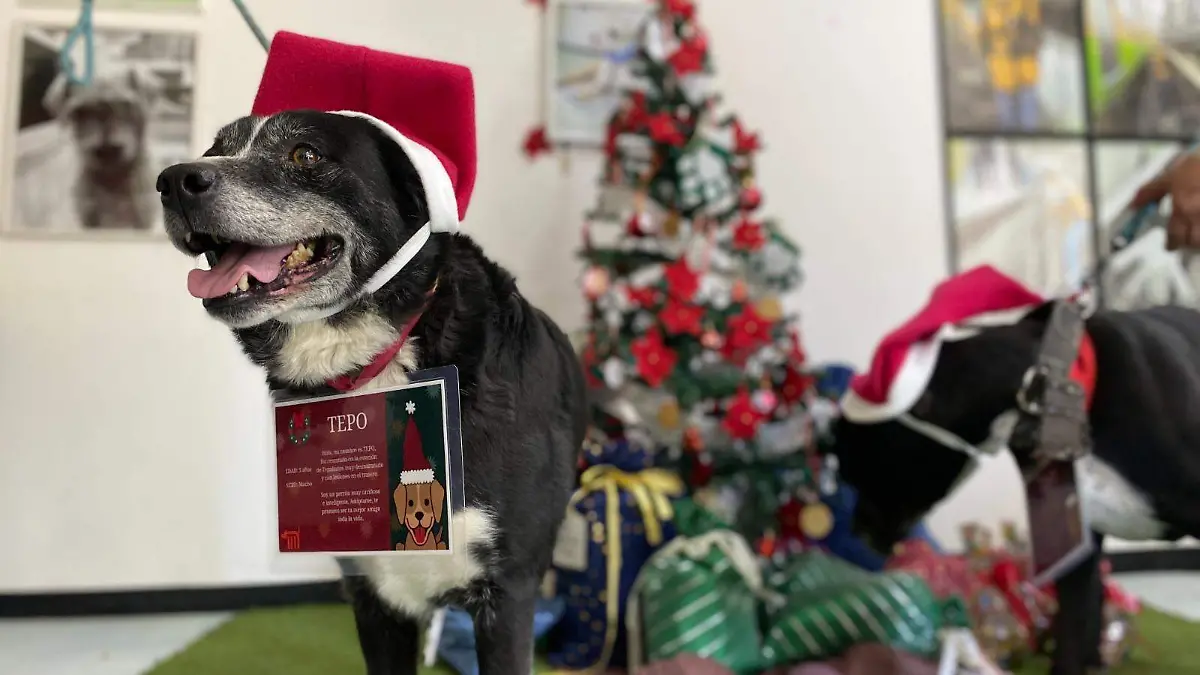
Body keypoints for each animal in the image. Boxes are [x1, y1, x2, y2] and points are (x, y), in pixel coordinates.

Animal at [158, 109, 587, 675]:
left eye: (305, 153)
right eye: (216, 151)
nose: (172, 181)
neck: (378, 360)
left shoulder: (509, 593)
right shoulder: (375, 594)